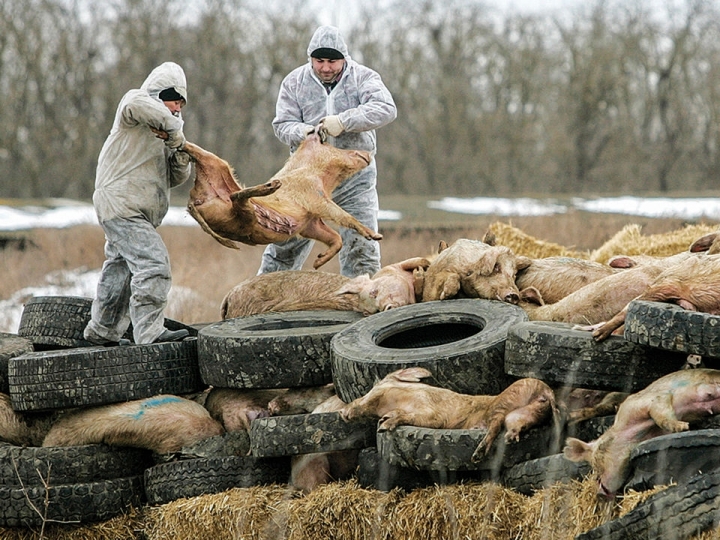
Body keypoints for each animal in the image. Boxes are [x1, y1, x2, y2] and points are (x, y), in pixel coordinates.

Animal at [181, 131, 382, 270]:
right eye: (335, 147)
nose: (367, 153)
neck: (323, 178)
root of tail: (194, 200)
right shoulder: (313, 195)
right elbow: (343, 215)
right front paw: (375, 236)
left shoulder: (310, 223)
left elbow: (335, 237)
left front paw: (317, 263)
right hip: (240, 211)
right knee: (237, 198)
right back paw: (271, 186)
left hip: (220, 169)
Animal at [340, 370, 560, 462]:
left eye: (373, 389)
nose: (342, 412)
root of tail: (546, 390)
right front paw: (383, 421)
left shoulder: (432, 413)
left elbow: (412, 416)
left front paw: (384, 426)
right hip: (523, 413)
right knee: (513, 426)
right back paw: (509, 438)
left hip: (505, 400)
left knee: (495, 424)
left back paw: (477, 455)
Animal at [564, 368, 720, 498]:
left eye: (596, 463)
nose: (599, 493)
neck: (639, 435)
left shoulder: (648, 400)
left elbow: (660, 414)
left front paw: (683, 427)